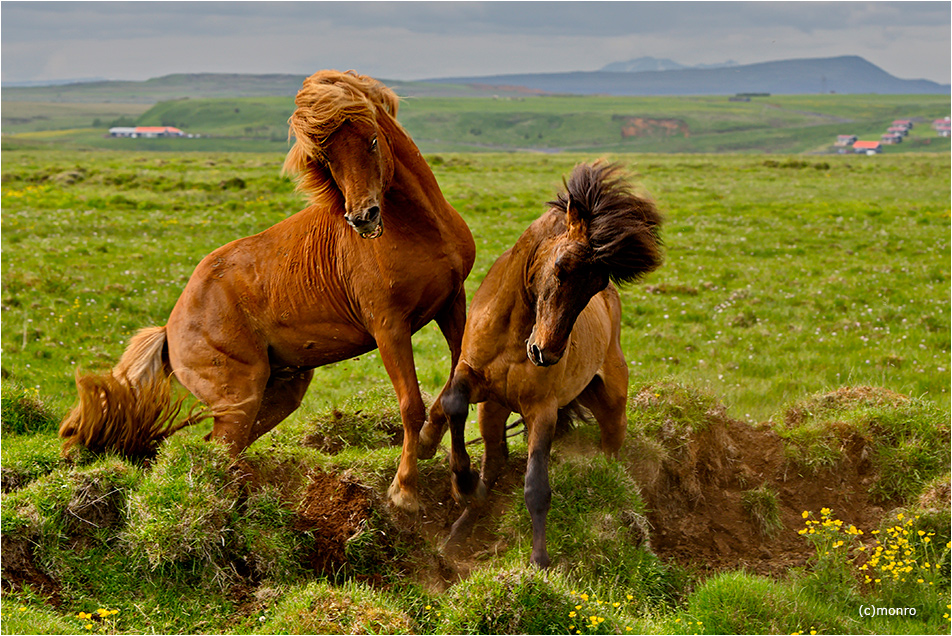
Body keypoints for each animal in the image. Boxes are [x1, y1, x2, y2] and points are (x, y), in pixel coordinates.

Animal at [57, 69, 474, 512]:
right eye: (326, 158)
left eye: (372, 139)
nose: (363, 218)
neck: (418, 230)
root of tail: (169, 331)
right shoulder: (389, 327)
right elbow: (410, 405)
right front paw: (404, 490)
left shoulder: (452, 303)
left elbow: (458, 379)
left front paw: (435, 451)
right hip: (240, 398)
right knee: (218, 449)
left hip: (278, 394)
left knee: (220, 446)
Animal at [420, 160, 664, 568]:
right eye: (562, 267)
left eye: (596, 284)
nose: (545, 353)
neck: (514, 333)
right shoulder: (473, 378)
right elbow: (453, 404)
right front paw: (461, 483)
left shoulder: (542, 410)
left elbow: (536, 486)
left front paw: (539, 559)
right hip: (494, 410)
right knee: (495, 463)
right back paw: (460, 529)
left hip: (611, 407)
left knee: (611, 452)